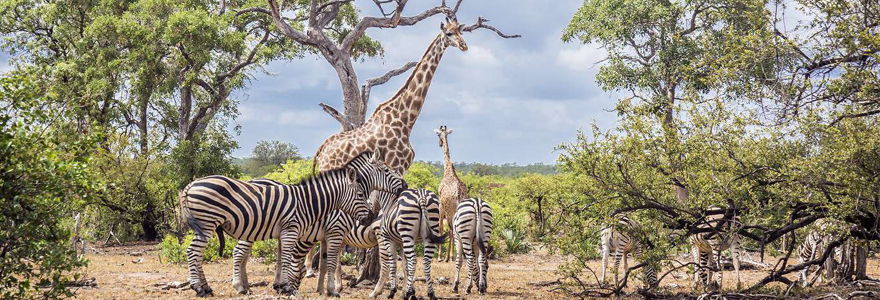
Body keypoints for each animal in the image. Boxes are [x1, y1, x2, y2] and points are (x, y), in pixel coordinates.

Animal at [179, 151, 406, 296]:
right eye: (387, 170)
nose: (404, 185)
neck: (312, 201)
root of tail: (191, 185)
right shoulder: (332, 231)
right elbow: (327, 262)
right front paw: (329, 290)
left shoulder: (318, 234)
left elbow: (322, 262)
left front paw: (320, 289)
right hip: (214, 223)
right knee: (202, 252)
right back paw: (208, 288)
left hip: (216, 226)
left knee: (205, 254)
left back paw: (218, 287)